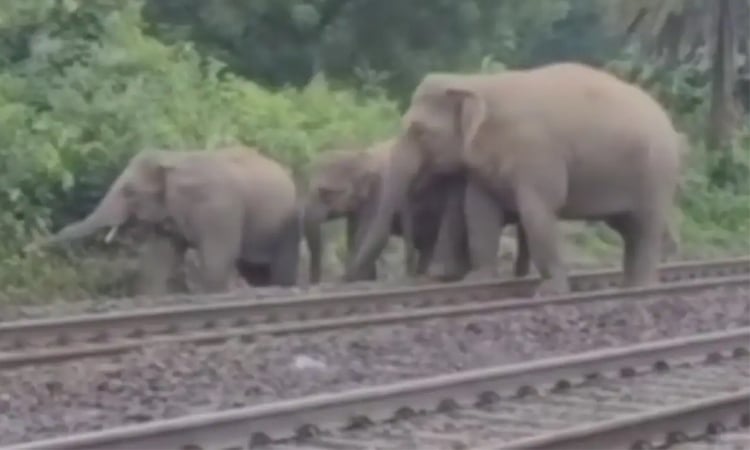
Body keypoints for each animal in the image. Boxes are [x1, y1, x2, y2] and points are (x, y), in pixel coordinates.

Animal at [29, 147, 301, 294]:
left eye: (129, 191)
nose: (29, 249)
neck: (174, 158)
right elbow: (159, 258)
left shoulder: (218, 208)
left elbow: (218, 256)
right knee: (255, 270)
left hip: (288, 224)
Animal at [347, 62, 683, 296]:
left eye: (419, 131)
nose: (350, 279)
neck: (475, 82)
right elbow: (478, 210)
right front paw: (477, 280)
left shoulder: (537, 153)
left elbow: (537, 211)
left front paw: (550, 291)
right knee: (628, 228)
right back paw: (630, 285)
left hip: (657, 172)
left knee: (645, 225)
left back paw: (640, 288)